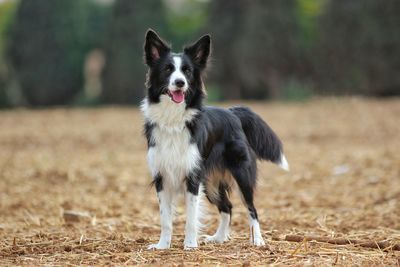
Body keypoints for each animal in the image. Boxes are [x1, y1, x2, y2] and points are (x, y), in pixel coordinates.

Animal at [141, 30, 288, 250]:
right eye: (168, 69)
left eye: (187, 71)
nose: (180, 82)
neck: (173, 118)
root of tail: (233, 112)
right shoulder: (162, 177)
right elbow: (165, 219)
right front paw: (162, 246)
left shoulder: (193, 177)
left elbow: (191, 218)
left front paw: (190, 245)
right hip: (210, 182)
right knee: (227, 207)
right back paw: (219, 238)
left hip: (241, 174)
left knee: (251, 209)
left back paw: (258, 240)